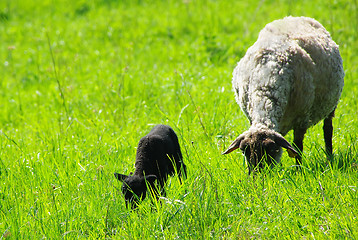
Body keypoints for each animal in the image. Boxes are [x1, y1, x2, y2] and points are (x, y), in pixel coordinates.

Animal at [224, 16, 344, 173]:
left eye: (271, 150)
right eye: (244, 150)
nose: (257, 176)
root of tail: (296, 17)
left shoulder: (302, 119)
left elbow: (297, 147)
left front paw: (299, 171)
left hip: (332, 105)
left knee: (328, 129)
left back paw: (329, 157)